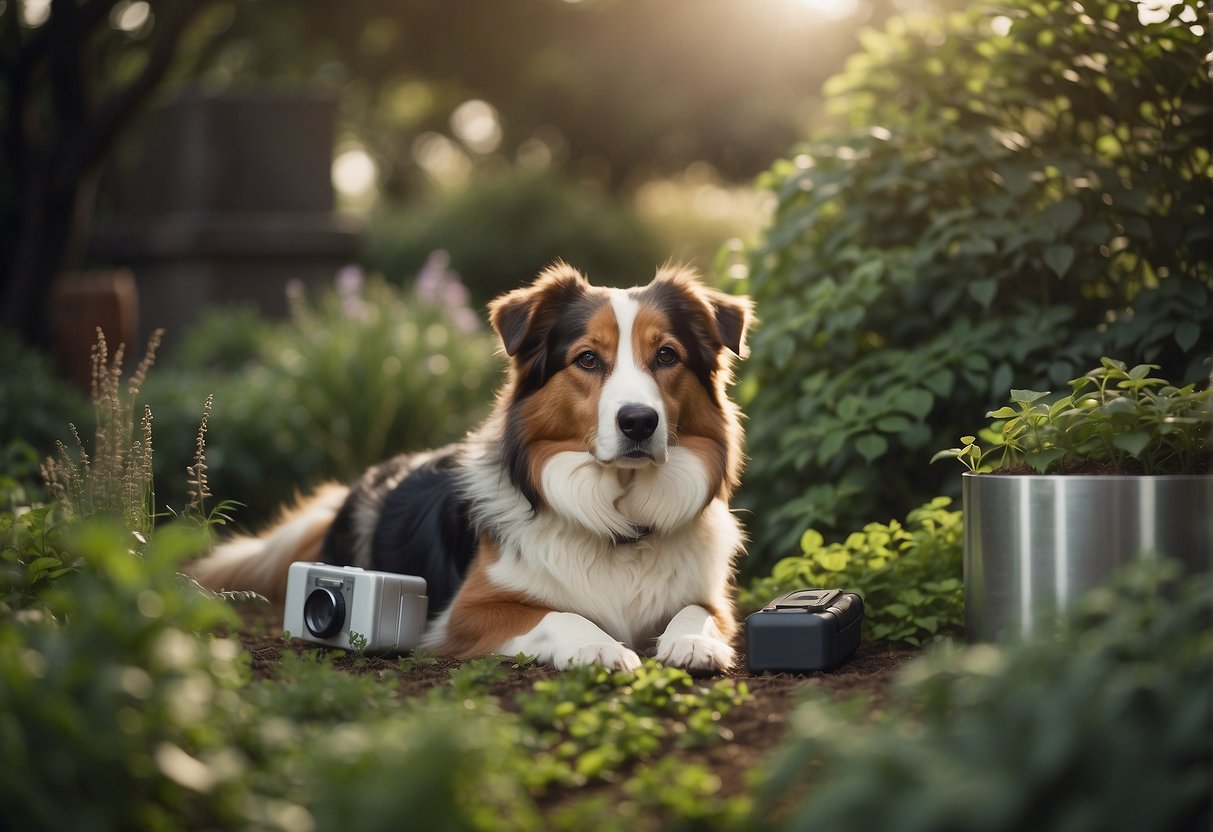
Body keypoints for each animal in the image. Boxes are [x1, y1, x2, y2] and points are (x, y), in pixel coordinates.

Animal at [188, 264, 747, 674]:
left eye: (667, 355)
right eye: (588, 359)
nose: (638, 422)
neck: (619, 521)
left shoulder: (714, 598)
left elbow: (698, 611)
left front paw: (693, 642)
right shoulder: (466, 612)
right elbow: (559, 612)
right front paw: (601, 645)